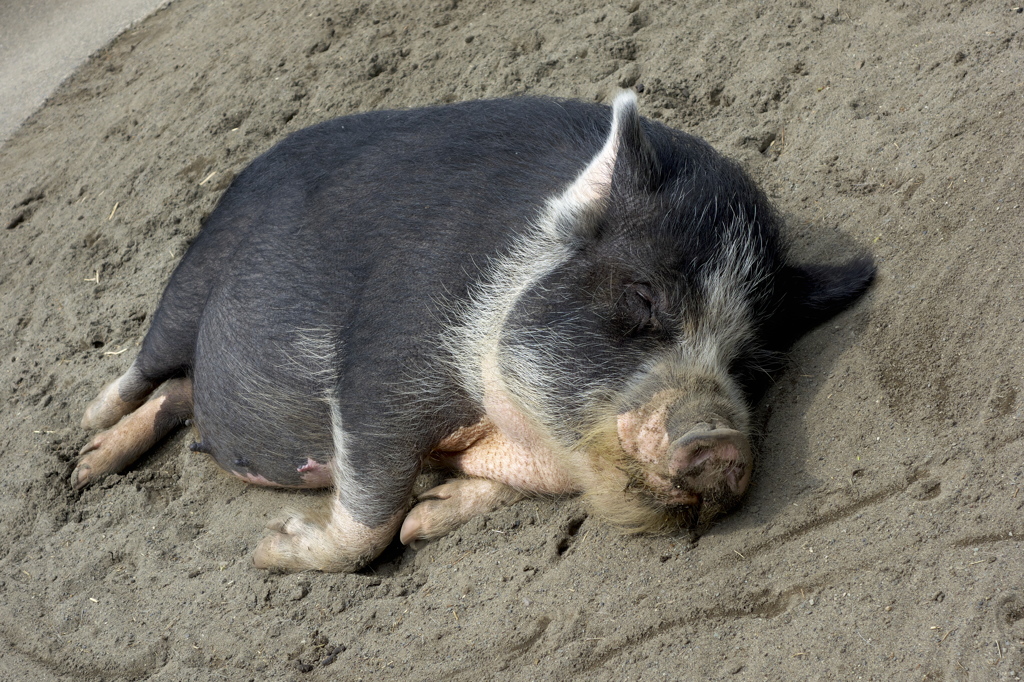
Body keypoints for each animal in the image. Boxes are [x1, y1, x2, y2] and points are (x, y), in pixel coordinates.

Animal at [75, 90, 872, 569]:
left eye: (751, 365)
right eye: (644, 297)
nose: (720, 445)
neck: (510, 426)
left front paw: (425, 519)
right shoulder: (382, 365)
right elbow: (368, 515)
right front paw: (270, 550)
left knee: (179, 395)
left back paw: (89, 467)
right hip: (191, 282)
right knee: (147, 370)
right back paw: (84, 443)